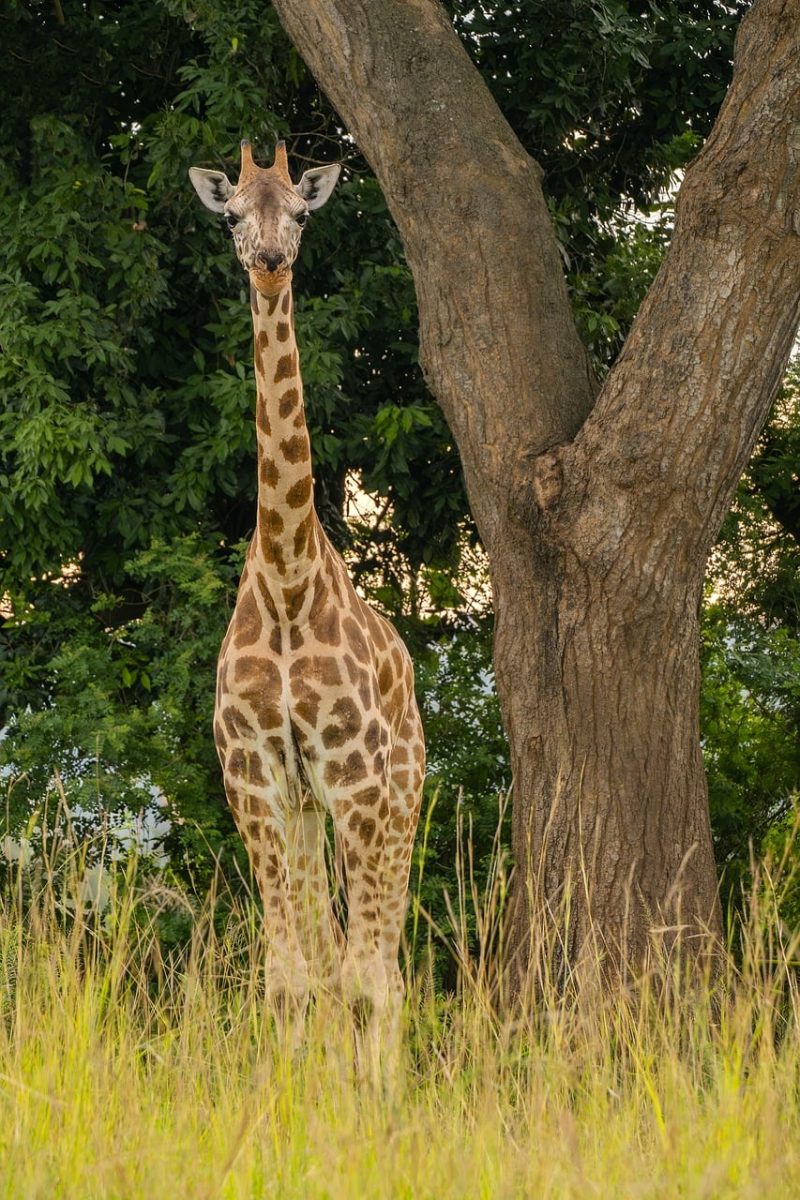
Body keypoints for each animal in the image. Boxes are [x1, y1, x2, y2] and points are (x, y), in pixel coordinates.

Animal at [189, 140, 425, 1074]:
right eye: (229, 213)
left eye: (299, 211)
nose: (269, 260)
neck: (289, 583)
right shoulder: (253, 774)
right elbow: (292, 978)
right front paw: (295, 1094)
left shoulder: (356, 777)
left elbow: (360, 982)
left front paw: (358, 1106)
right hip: (308, 812)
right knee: (332, 956)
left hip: (399, 796)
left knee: (385, 970)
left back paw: (385, 1088)